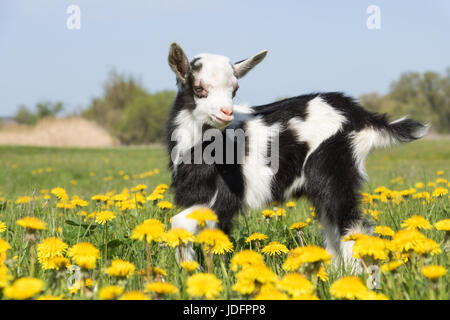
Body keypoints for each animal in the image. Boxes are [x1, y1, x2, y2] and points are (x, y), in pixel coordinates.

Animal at [165, 42, 428, 268]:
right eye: (199, 88)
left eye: (235, 90)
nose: (226, 113)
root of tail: (359, 115)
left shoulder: (223, 196)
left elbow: (178, 222)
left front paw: (189, 268)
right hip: (323, 186)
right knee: (332, 228)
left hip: (333, 172)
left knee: (352, 226)